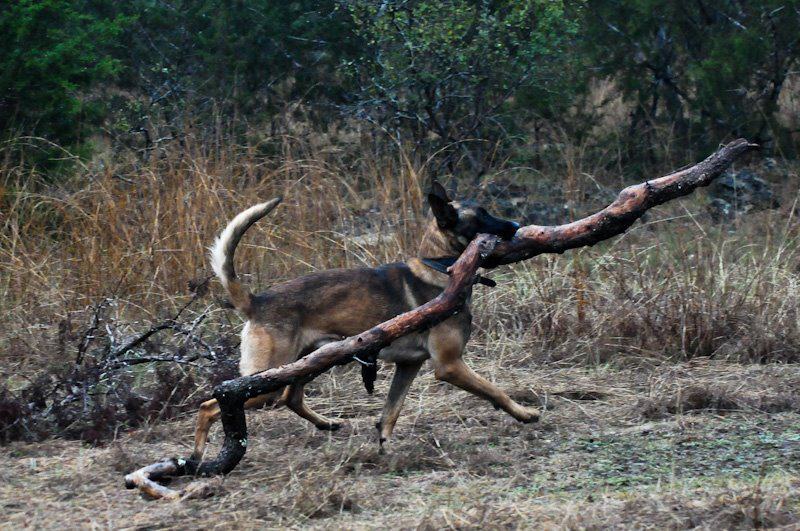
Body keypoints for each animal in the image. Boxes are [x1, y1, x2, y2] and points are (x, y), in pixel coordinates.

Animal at [194, 181, 540, 460]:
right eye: (481, 216)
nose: (517, 224)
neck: (441, 266)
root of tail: (256, 301)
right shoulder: (450, 365)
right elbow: (495, 391)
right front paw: (524, 413)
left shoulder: (409, 365)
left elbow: (391, 411)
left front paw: (385, 447)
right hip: (264, 380)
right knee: (210, 406)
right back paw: (197, 460)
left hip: (307, 363)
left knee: (291, 397)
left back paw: (327, 423)